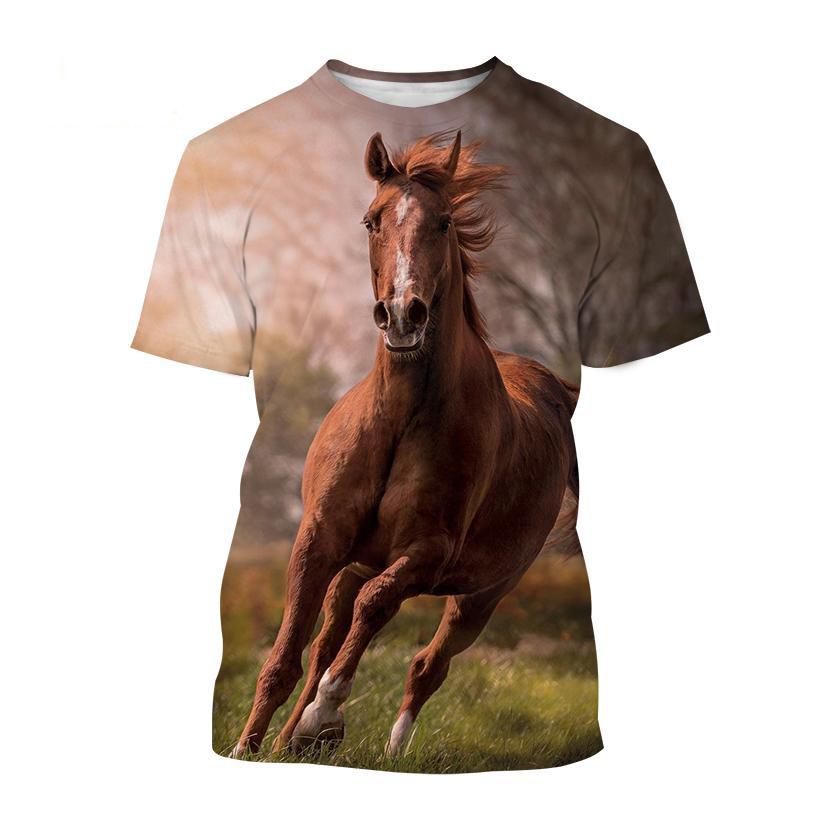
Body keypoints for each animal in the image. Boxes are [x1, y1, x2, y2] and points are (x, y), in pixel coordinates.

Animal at [231, 130, 579, 759]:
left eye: (443, 222)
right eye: (371, 220)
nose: (401, 312)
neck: (398, 420)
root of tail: (555, 390)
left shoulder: (427, 553)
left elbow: (376, 608)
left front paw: (324, 717)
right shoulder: (318, 540)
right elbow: (285, 659)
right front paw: (251, 748)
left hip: (481, 596)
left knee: (425, 663)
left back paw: (386, 749)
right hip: (358, 562)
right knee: (331, 636)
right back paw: (289, 743)